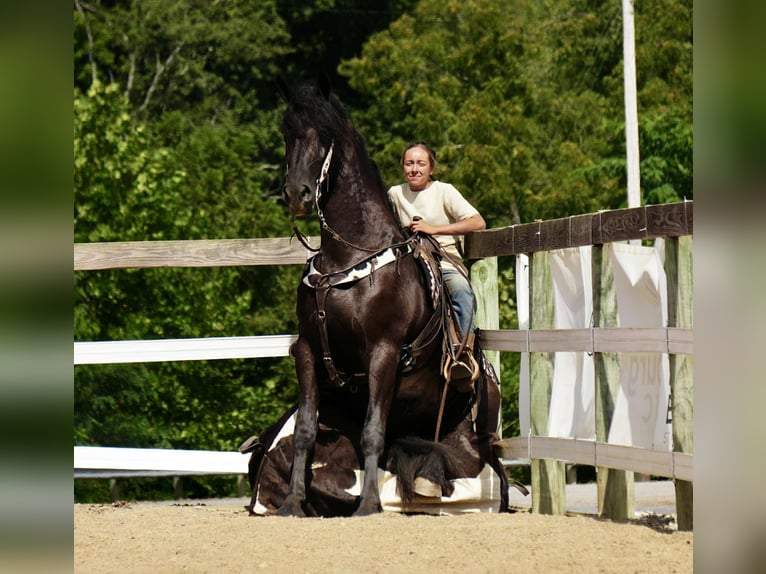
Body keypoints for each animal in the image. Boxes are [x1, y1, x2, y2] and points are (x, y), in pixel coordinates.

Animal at [244, 76, 513, 517]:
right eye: (286, 132)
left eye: (325, 134)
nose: (298, 194)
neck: (349, 258)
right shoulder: (308, 349)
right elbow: (305, 429)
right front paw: (292, 502)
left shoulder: (383, 352)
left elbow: (373, 431)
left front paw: (368, 503)